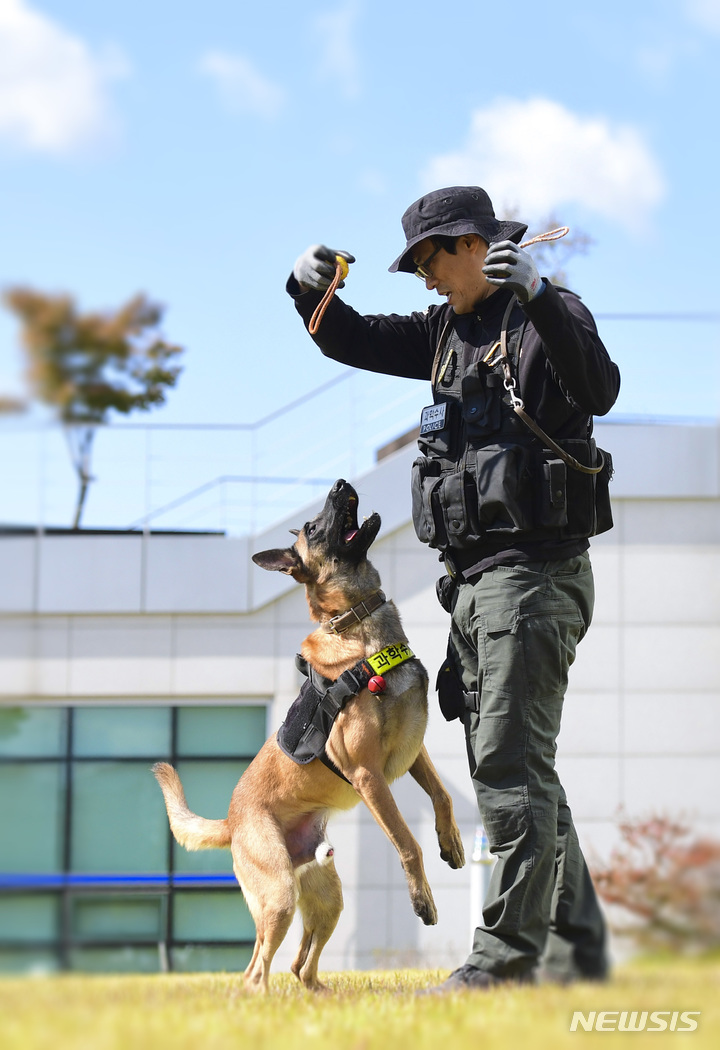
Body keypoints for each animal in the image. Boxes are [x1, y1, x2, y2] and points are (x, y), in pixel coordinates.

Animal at [154, 480, 466, 986]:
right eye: (314, 528)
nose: (340, 483)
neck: (355, 623)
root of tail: (233, 821)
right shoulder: (368, 776)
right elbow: (407, 842)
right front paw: (423, 899)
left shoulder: (414, 751)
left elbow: (443, 794)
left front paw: (452, 841)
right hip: (278, 896)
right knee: (256, 971)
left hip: (328, 897)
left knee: (300, 965)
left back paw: (324, 996)